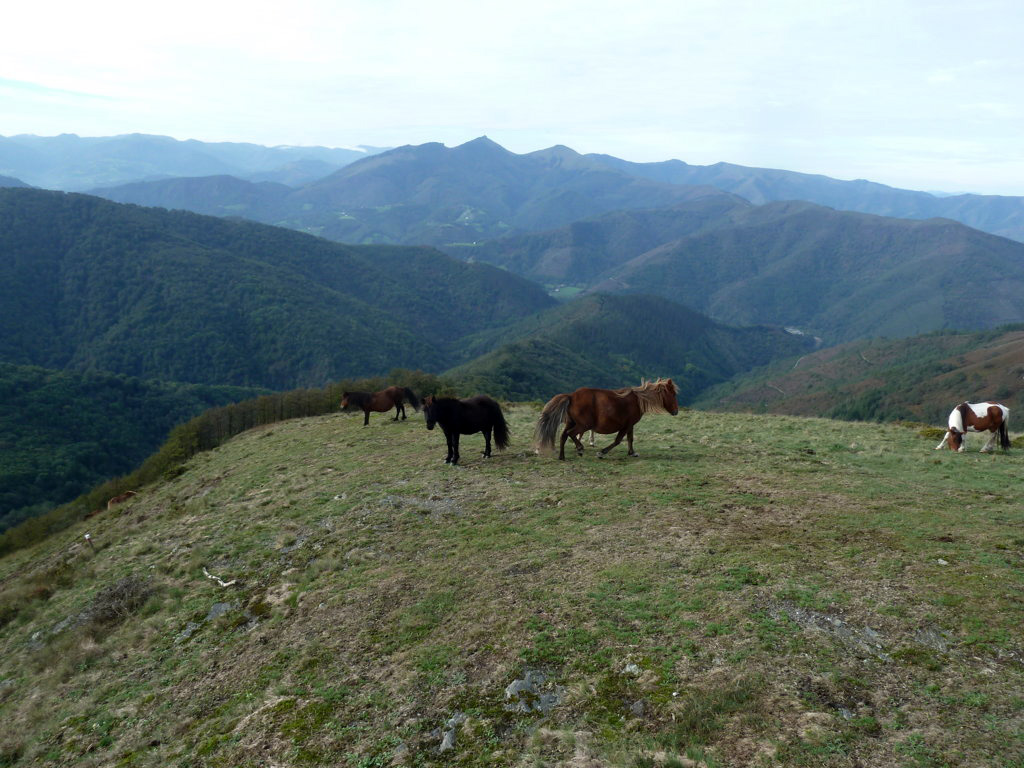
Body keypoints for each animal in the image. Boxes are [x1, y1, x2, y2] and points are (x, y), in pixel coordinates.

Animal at [536, 376, 679, 460]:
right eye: (673, 394)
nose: (676, 411)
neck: (638, 400)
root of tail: (571, 396)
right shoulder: (626, 425)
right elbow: (618, 440)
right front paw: (602, 452)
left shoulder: (630, 425)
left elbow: (630, 439)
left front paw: (632, 452)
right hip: (583, 425)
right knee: (571, 434)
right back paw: (580, 449)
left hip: (571, 423)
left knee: (564, 436)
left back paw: (562, 456)